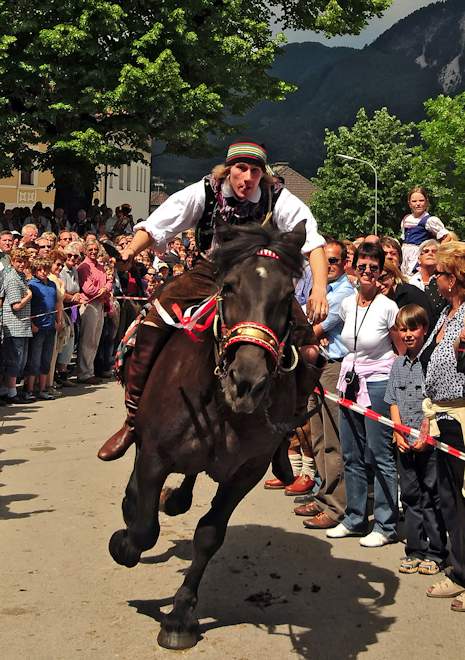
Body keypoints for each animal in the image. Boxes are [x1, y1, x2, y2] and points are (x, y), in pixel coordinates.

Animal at [107, 220, 320, 648]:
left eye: (287, 295)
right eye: (231, 287)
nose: (247, 381)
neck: (222, 407)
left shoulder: (246, 473)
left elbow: (209, 534)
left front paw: (179, 617)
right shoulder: (155, 455)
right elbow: (143, 529)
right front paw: (123, 543)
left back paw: (176, 498)